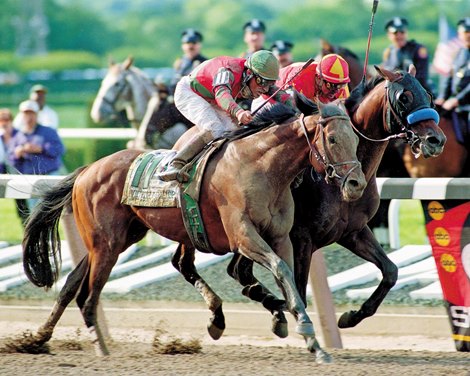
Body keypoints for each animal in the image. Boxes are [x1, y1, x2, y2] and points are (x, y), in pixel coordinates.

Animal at [22, 101, 366, 362]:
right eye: (332, 139)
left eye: (355, 138)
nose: (356, 184)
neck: (261, 167)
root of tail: (86, 170)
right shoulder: (243, 236)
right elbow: (280, 270)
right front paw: (303, 329)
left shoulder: (280, 237)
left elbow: (289, 278)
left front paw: (313, 342)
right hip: (106, 243)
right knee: (88, 295)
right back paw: (101, 349)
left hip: (116, 240)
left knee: (72, 284)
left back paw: (38, 338)